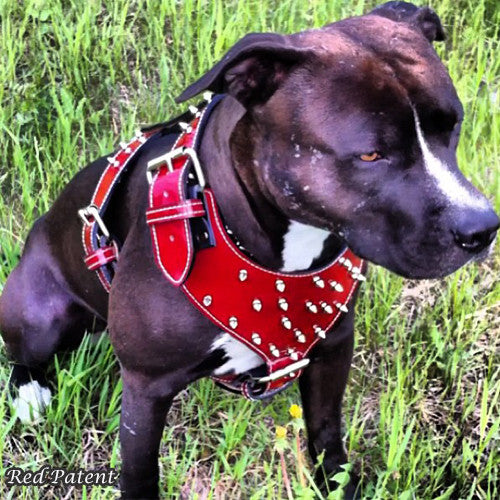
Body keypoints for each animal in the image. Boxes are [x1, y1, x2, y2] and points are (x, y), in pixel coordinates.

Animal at [1, 1, 498, 498]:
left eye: (454, 124)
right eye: (371, 155)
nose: (483, 228)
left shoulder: (334, 348)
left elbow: (327, 437)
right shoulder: (145, 387)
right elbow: (140, 473)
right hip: (38, 314)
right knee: (22, 354)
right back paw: (29, 393)